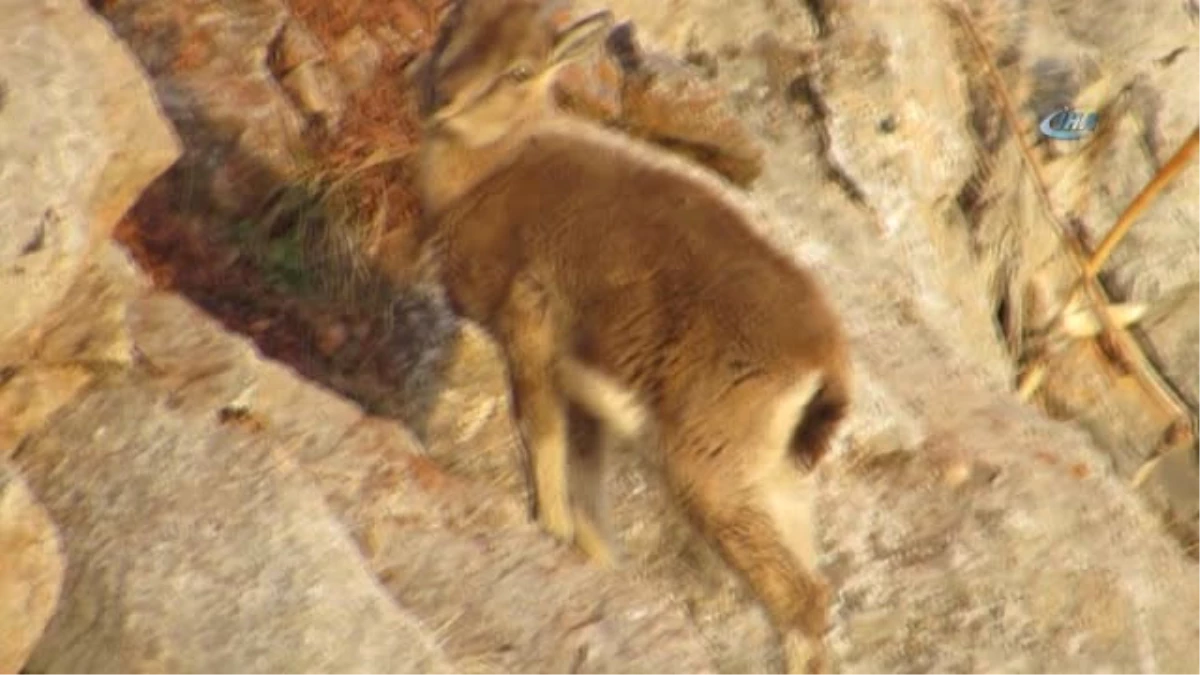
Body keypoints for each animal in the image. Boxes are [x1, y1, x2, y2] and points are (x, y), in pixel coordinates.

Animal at [417, 2, 849, 667]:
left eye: (521, 69)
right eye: (453, 23)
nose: (441, 98)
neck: (493, 174)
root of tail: (825, 365)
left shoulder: (530, 324)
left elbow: (540, 436)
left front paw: (547, 528)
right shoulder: (586, 393)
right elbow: (589, 491)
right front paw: (592, 560)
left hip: (710, 466)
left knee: (799, 597)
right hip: (775, 477)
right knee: (817, 588)